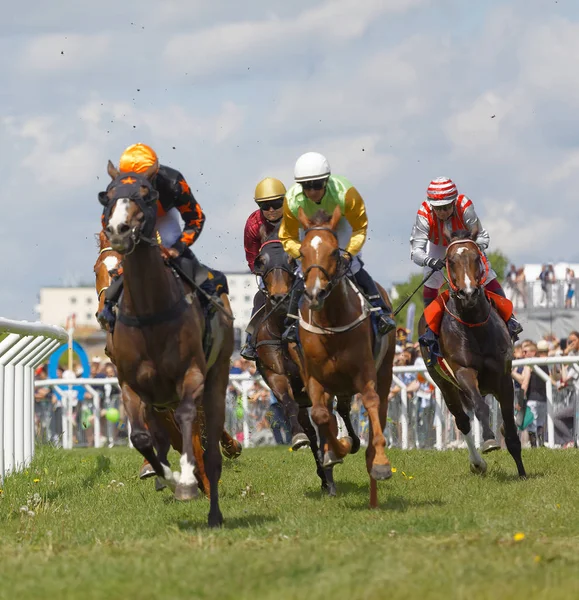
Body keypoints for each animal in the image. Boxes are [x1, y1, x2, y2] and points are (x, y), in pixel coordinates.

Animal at [99, 159, 233, 524]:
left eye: (147, 194)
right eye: (108, 196)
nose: (119, 230)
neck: (150, 310)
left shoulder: (192, 375)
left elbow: (188, 420)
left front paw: (186, 481)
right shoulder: (131, 385)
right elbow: (142, 437)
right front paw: (168, 478)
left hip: (218, 378)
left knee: (210, 451)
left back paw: (214, 511)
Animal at [255, 223, 362, 494]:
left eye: (291, 260)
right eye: (262, 261)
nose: (279, 297)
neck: (282, 327)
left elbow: (328, 418)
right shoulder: (274, 372)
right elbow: (289, 406)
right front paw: (298, 438)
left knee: (339, 412)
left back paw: (346, 448)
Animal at [288, 207, 396, 506]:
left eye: (334, 251)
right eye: (302, 252)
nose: (315, 293)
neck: (331, 323)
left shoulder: (365, 372)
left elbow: (371, 402)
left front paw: (379, 462)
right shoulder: (313, 377)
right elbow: (321, 415)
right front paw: (336, 450)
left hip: (385, 368)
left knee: (380, 406)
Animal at [420, 230, 528, 478]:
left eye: (477, 257)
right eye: (450, 261)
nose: (468, 293)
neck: (474, 325)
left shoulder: (504, 377)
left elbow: (510, 425)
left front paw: (522, 472)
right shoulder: (463, 372)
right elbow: (480, 408)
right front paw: (489, 440)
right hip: (444, 385)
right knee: (462, 421)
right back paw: (477, 463)